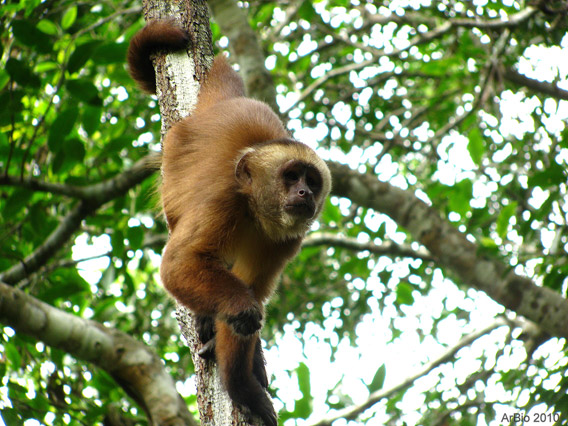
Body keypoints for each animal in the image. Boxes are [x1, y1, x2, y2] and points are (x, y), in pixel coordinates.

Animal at [127, 20, 332, 426]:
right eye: (291, 177)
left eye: (312, 181)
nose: (305, 194)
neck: (255, 212)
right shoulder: (223, 202)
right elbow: (181, 266)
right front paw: (243, 383)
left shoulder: (288, 240)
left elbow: (251, 290)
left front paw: (242, 379)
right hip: (174, 153)